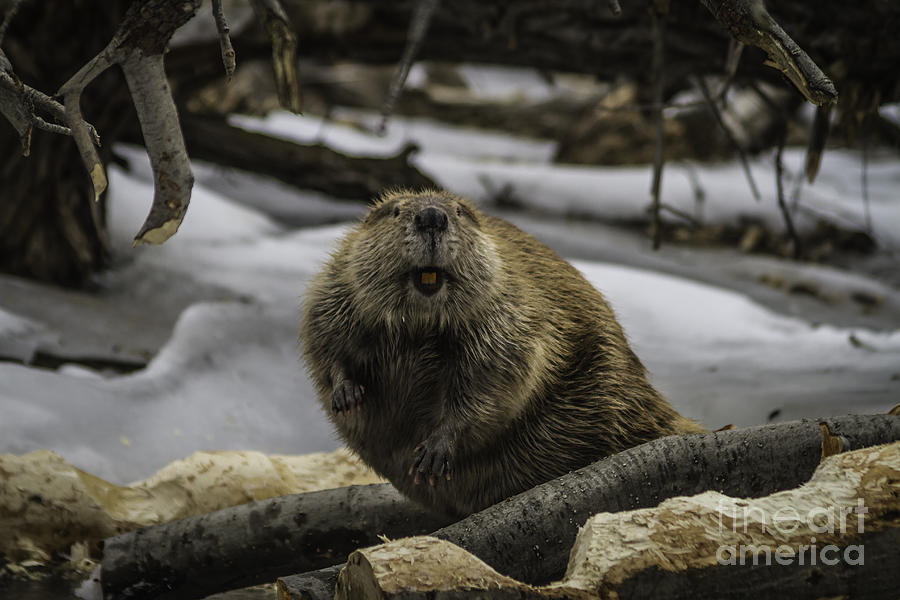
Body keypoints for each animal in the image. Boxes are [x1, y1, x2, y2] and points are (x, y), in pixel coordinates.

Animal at [302, 189, 704, 516]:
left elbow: (494, 384)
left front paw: (432, 455)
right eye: (396, 210)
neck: (418, 325)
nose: (432, 217)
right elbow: (324, 340)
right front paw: (346, 395)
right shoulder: (337, 286)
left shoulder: (510, 314)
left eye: (460, 210)